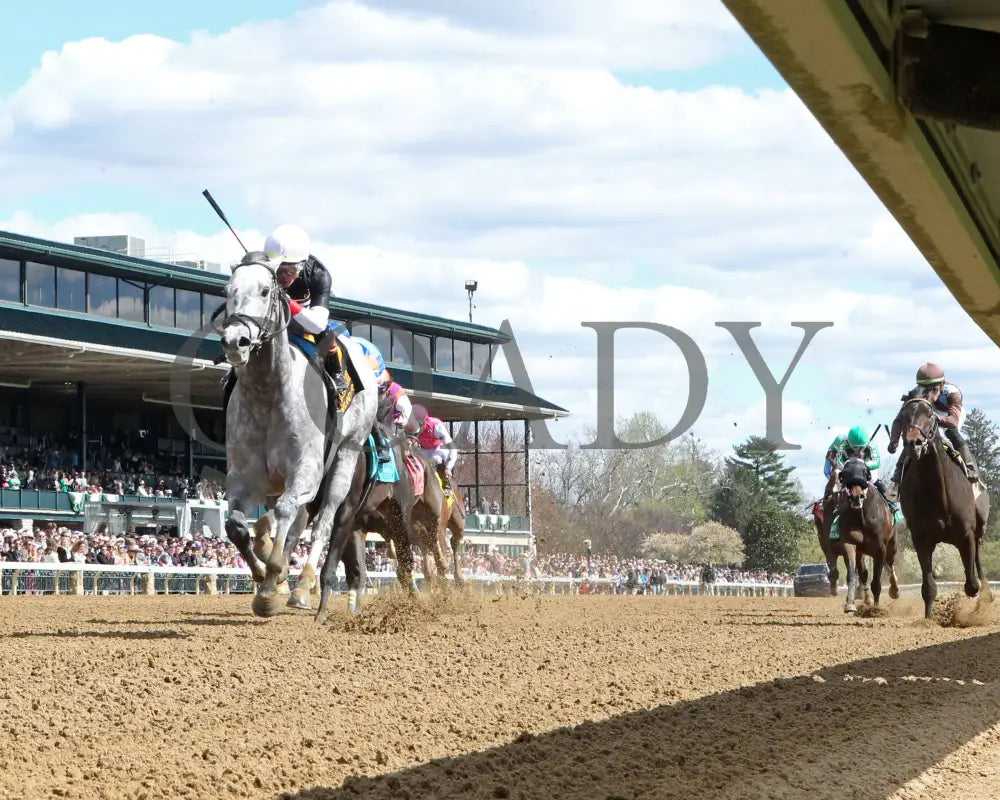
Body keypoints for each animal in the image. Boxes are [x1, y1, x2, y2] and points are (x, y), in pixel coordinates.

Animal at [217, 256, 376, 620]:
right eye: (228, 291)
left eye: (265, 291)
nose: (235, 341)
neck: (268, 393)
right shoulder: (244, 476)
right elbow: (236, 526)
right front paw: (263, 573)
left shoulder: (307, 472)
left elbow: (288, 513)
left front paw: (269, 585)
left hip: (345, 459)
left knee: (324, 522)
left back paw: (303, 586)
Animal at [828, 456, 900, 612]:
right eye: (845, 475)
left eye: (865, 473)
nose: (857, 497)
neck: (862, 517)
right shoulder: (849, 544)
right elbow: (852, 575)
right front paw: (850, 604)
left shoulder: (880, 548)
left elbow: (877, 581)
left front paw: (876, 609)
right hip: (861, 552)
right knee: (864, 573)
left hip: (892, 543)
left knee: (890, 563)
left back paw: (894, 590)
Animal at [896, 398, 988, 620]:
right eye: (903, 416)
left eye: (930, 415)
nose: (913, 443)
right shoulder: (920, 538)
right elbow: (928, 586)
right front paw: (928, 620)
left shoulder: (966, 534)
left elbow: (972, 584)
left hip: (979, 528)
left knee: (977, 566)